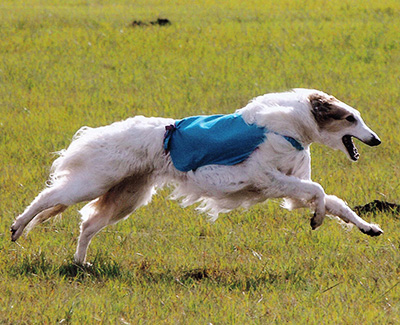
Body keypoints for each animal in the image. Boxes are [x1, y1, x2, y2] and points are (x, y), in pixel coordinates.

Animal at [10, 88, 382, 264]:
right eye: (350, 118)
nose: (376, 139)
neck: (291, 124)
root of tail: (96, 135)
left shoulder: (289, 189)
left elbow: (335, 203)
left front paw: (369, 227)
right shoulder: (265, 177)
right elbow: (318, 191)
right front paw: (317, 219)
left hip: (128, 196)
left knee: (87, 224)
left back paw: (79, 263)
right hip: (93, 182)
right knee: (47, 198)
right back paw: (17, 227)